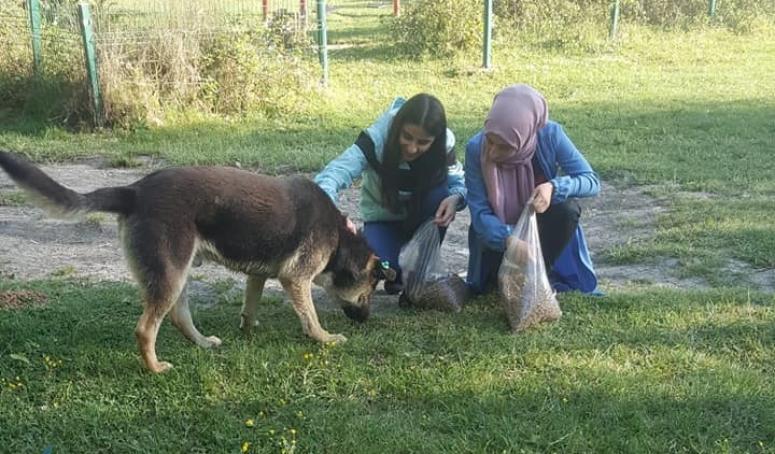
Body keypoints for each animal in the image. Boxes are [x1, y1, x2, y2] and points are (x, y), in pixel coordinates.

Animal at [0, 153, 398, 372]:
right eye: (367, 293)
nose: (366, 319)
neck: (340, 239)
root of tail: (134, 190)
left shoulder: (261, 273)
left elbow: (250, 304)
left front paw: (248, 330)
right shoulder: (295, 279)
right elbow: (310, 316)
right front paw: (325, 338)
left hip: (177, 272)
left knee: (178, 317)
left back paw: (203, 343)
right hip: (171, 273)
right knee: (146, 328)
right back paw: (155, 368)